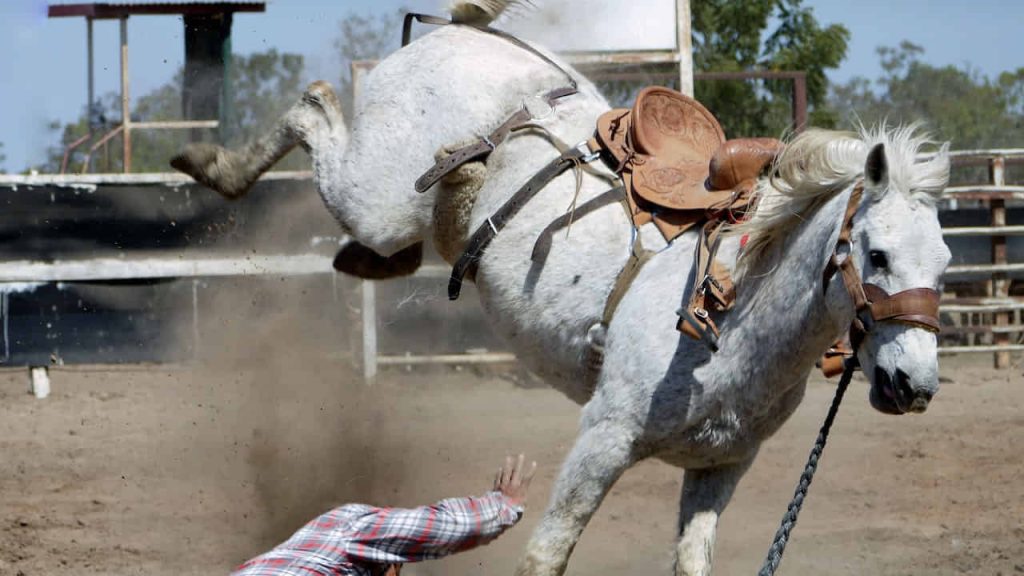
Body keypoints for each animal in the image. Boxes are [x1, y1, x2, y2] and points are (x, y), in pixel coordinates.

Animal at [169, 2, 950, 569]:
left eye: (944, 262)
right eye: (877, 254)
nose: (914, 385)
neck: (732, 315)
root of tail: (466, 30)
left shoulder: (722, 465)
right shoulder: (601, 440)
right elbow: (547, 553)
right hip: (376, 194)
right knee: (313, 105)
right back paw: (210, 164)